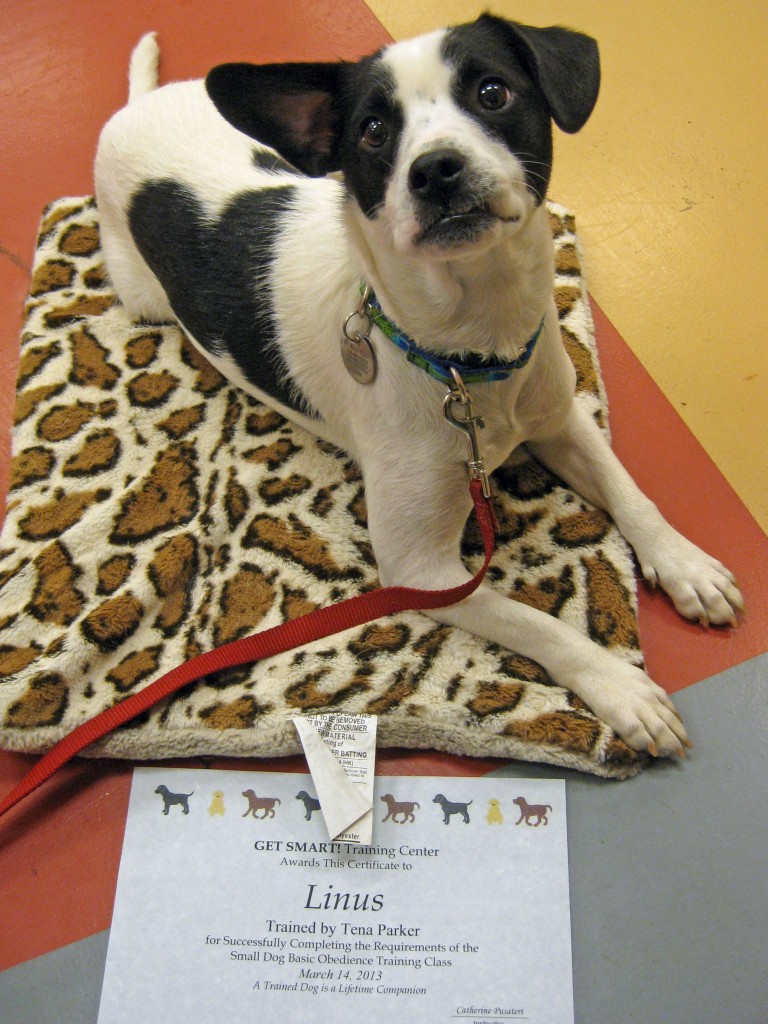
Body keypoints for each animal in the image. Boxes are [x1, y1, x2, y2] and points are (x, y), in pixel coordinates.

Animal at [93, 14, 741, 761]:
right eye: (374, 131)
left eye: (493, 92)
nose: (434, 169)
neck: (467, 358)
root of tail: (135, 107)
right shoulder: (418, 569)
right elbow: (538, 624)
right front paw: (621, 688)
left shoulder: (558, 416)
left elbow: (632, 496)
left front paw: (685, 565)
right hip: (142, 295)